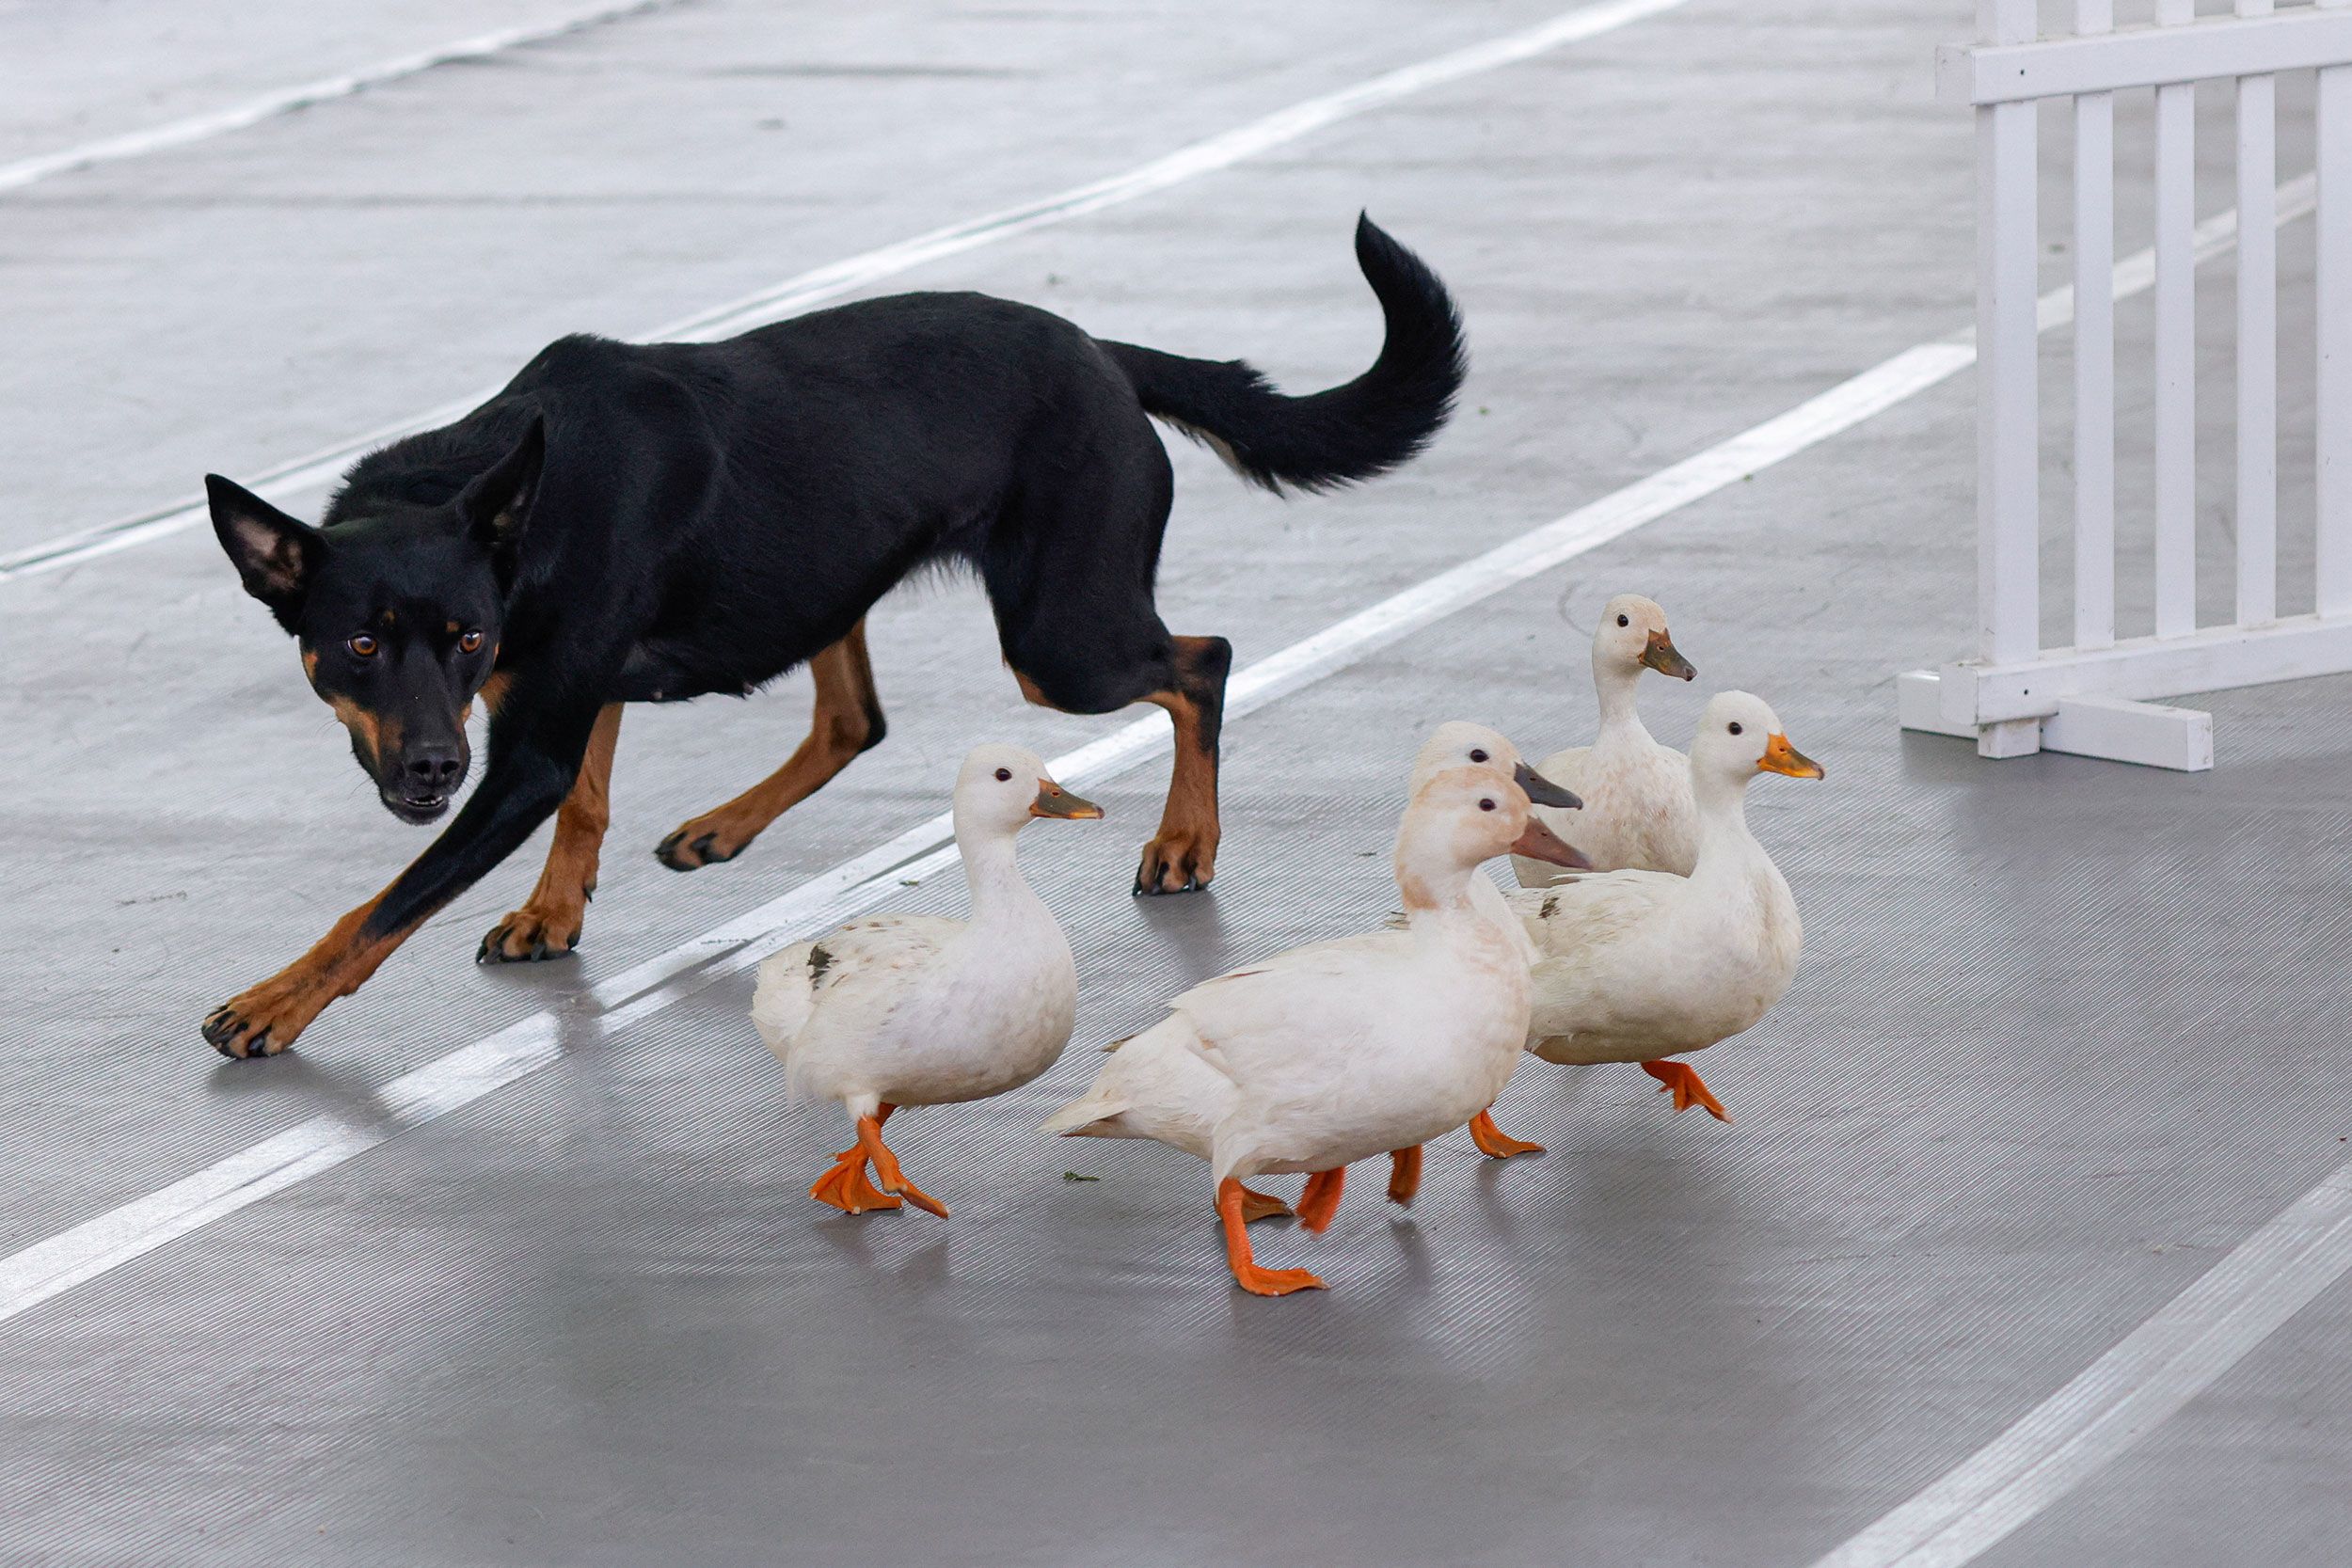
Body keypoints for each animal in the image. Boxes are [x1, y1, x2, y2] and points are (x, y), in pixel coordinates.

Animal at [202, 214, 1458, 1062]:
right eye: (360, 646)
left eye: (465, 637)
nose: (430, 768)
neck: (513, 503)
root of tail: (1103, 352)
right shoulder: (560, 702)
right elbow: (586, 801)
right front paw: (554, 909)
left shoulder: (529, 740)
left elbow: (383, 904)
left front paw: (271, 1002)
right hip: (843, 581)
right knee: (857, 717)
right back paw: (721, 826)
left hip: (1060, 638)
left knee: (1203, 660)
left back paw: (1186, 839)